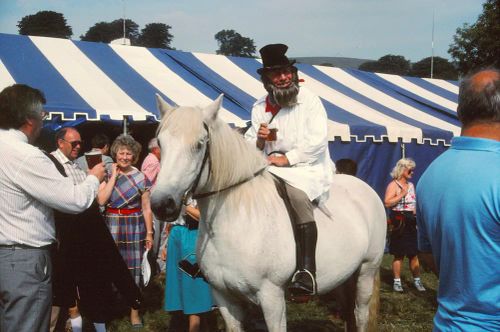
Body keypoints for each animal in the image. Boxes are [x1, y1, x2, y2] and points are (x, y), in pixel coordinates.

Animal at [151, 94, 386, 330]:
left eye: (199, 144)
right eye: (160, 143)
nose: (162, 204)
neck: (233, 223)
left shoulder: (271, 297)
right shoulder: (224, 298)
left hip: (367, 270)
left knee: (360, 315)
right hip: (345, 276)